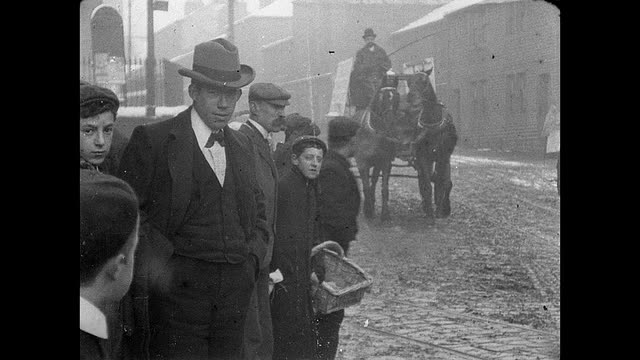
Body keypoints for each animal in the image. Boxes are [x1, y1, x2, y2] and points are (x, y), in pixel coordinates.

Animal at [402, 69, 458, 224]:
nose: (410, 97)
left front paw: (439, 210)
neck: (432, 122)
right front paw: (429, 210)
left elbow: (441, 182)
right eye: (409, 81)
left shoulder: (442, 156)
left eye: (424, 81)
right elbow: (426, 183)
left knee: (445, 181)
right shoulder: (423, 156)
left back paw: (444, 206)